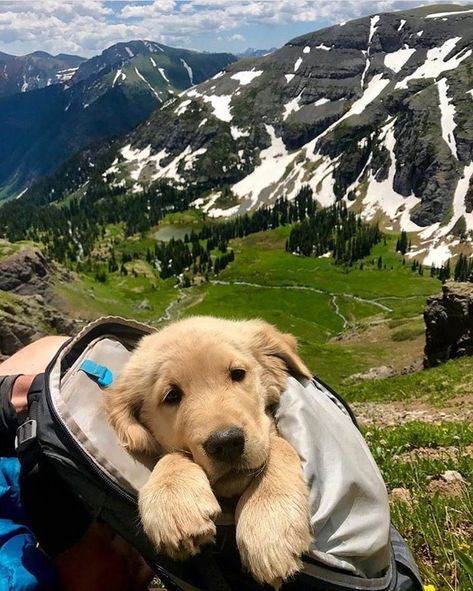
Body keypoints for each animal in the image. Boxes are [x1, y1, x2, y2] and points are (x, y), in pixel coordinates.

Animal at [103, 316, 312, 588]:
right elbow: (172, 455)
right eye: (172, 396)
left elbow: (279, 444)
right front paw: (174, 502)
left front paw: (268, 527)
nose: (226, 443)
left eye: (237, 374)